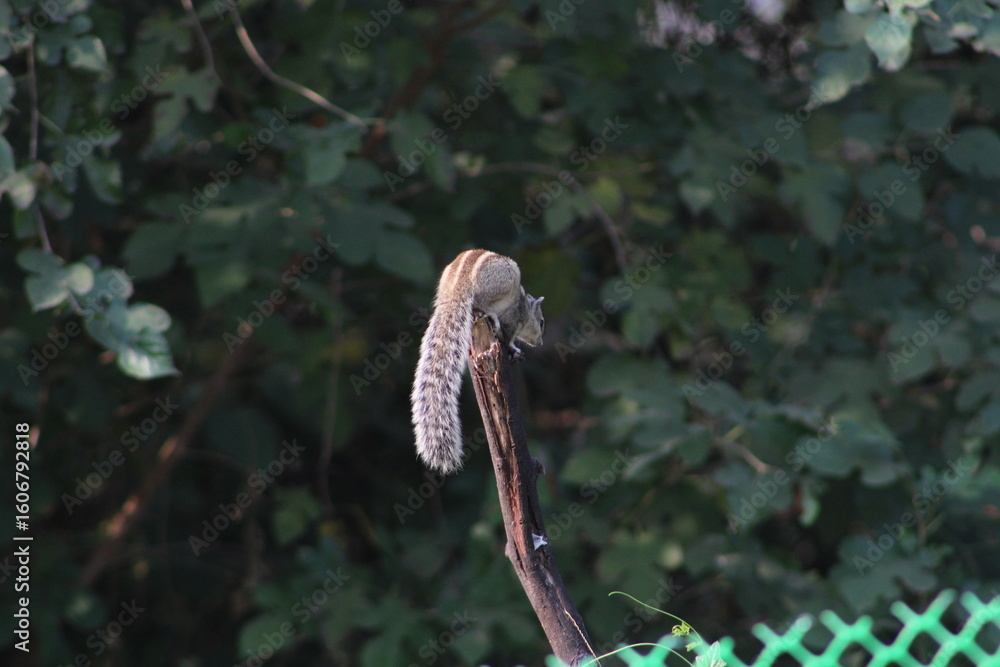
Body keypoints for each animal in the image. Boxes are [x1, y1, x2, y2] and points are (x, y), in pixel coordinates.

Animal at [411, 249, 545, 475]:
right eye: (542, 322)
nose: (541, 342)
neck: (525, 306)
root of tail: (457, 288)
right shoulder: (513, 319)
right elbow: (509, 337)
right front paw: (514, 349)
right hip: (505, 282)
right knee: (484, 305)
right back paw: (490, 315)